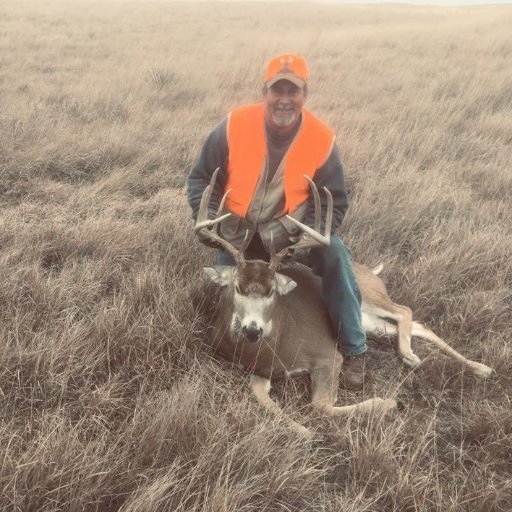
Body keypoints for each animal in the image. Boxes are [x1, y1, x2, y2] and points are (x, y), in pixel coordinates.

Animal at [195, 170, 492, 434]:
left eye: (272, 291)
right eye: (237, 287)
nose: (252, 329)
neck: (272, 344)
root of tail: (371, 271)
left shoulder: (327, 354)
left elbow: (321, 405)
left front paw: (387, 403)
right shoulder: (262, 371)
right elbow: (261, 396)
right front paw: (300, 429)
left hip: (369, 298)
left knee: (404, 310)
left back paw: (418, 356)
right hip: (371, 324)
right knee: (418, 325)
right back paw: (476, 367)